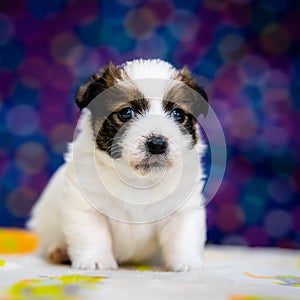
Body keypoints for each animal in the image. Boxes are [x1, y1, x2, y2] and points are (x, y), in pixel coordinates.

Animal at [28, 58, 209, 272]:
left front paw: (188, 263)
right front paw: (96, 260)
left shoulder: (183, 209)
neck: (139, 180)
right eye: (126, 113)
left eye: (178, 114)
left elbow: (183, 236)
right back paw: (61, 251)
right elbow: (93, 233)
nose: (157, 144)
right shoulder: (84, 206)